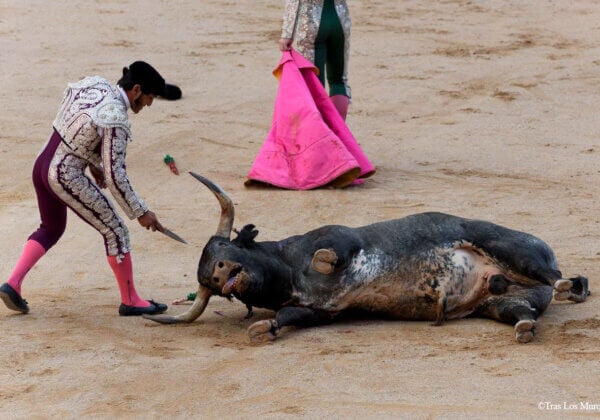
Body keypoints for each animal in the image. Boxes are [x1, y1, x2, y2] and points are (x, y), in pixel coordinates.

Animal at [145, 172, 592, 342]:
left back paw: (566, 286)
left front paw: (324, 262)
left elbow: (333, 252)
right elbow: (289, 317)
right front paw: (264, 327)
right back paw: (524, 325)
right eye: (208, 281)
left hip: (511, 248)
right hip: (502, 304)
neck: (288, 270)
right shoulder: (320, 312)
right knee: (523, 311)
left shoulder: (339, 237)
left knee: (554, 274)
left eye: (227, 249)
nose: (220, 273)